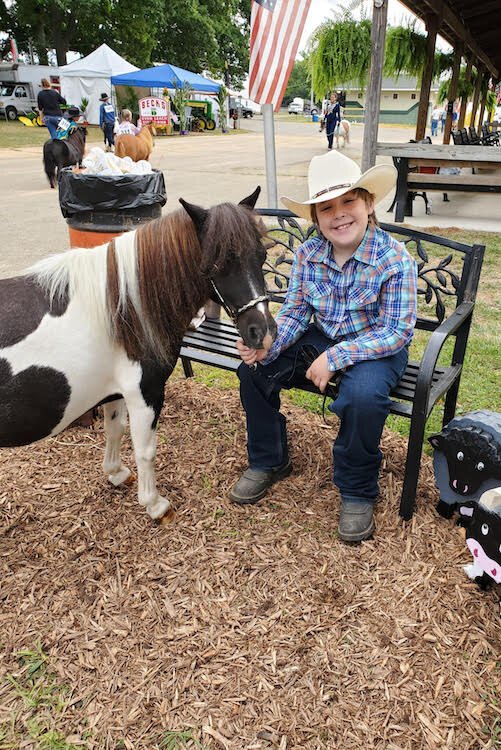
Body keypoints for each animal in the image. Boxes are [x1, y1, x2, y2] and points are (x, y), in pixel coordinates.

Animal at [0, 189, 276, 524]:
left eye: (261, 256)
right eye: (216, 264)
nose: (262, 332)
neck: (123, 309)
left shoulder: (114, 392)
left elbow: (115, 430)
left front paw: (116, 473)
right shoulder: (144, 393)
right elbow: (146, 450)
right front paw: (155, 504)